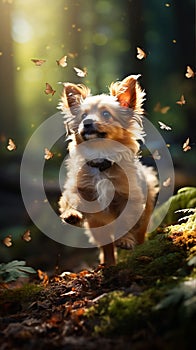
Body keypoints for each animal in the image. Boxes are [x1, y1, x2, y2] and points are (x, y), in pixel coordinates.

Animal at [57, 74, 158, 266]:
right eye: (83, 116)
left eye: (106, 114)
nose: (87, 122)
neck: (101, 161)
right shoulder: (79, 188)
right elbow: (71, 199)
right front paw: (71, 213)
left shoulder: (128, 198)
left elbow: (125, 222)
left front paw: (125, 240)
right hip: (97, 228)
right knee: (107, 247)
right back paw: (108, 263)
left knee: (140, 235)